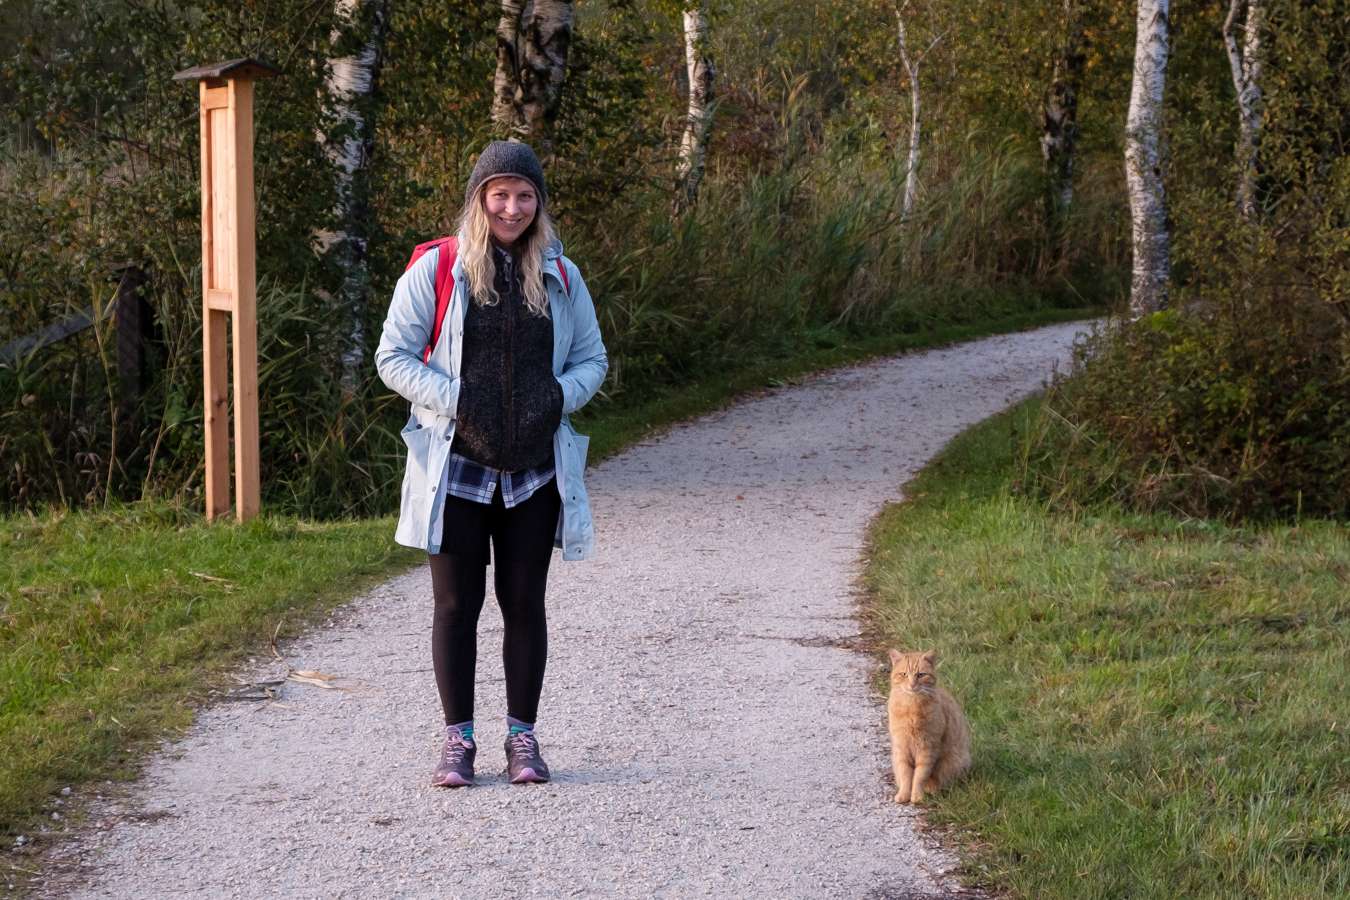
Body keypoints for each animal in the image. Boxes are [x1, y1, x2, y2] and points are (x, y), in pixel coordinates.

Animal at [885, 650, 972, 804]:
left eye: (921, 675)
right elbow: (905, 774)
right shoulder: (901, 748)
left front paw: (917, 796)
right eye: (904, 674)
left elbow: (920, 776)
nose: (912, 684)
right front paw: (904, 794)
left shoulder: (927, 748)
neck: (911, 708)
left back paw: (933, 789)